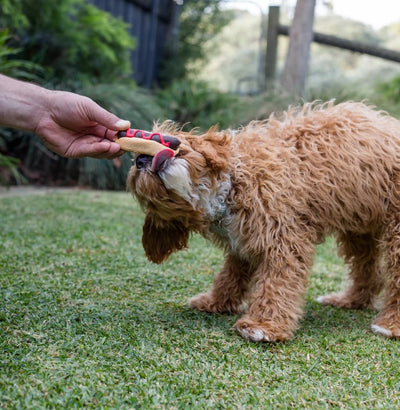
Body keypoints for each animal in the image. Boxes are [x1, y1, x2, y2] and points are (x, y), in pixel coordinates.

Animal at [127, 101, 400, 342]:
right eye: (140, 182)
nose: (140, 159)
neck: (233, 183)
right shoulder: (243, 238)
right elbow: (231, 274)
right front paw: (215, 302)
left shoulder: (283, 237)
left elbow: (277, 281)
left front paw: (263, 325)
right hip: (360, 225)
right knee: (368, 269)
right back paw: (350, 300)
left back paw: (390, 324)